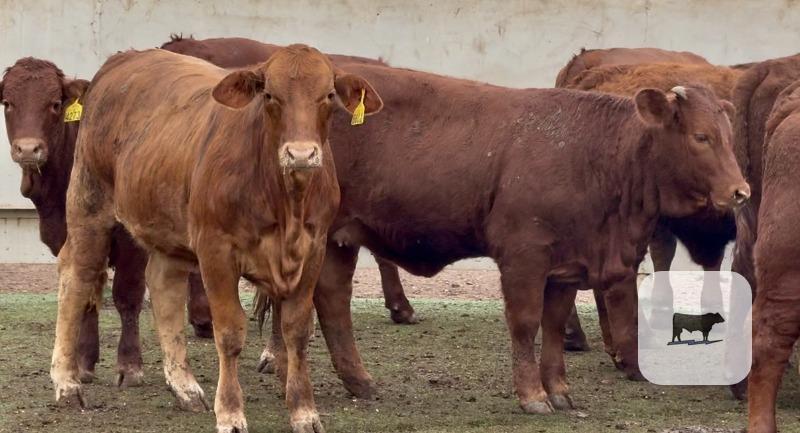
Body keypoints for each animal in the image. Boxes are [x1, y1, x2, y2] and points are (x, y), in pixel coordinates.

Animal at [48, 46, 382, 433]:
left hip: (167, 227)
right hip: (88, 204)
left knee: (163, 286)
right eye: (270, 95)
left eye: (328, 95)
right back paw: (66, 383)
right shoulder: (216, 252)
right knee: (76, 276)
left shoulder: (313, 250)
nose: (301, 154)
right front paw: (231, 413)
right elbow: (230, 332)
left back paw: (184, 387)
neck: (286, 204)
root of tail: (125, 58)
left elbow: (297, 330)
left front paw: (304, 412)